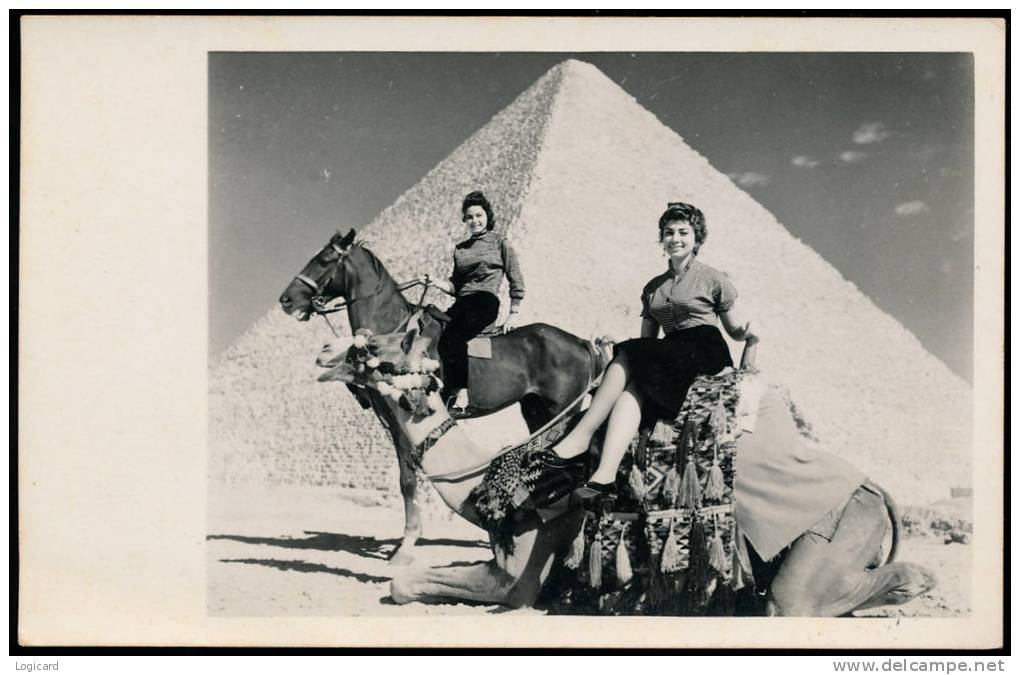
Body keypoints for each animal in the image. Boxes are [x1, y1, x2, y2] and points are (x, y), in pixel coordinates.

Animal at [279, 231, 603, 566]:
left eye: (324, 260)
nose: (286, 300)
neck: (395, 330)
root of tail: (581, 341)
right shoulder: (391, 419)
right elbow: (406, 477)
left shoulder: (404, 414)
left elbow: (408, 479)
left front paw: (406, 546)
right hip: (536, 412)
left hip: (562, 411)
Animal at [314, 326, 934, 615]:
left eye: (373, 349)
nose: (323, 354)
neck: (479, 483)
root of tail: (874, 491)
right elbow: (406, 581)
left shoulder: (519, 575)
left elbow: (403, 585)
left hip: (836, 534)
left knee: (802, 598)